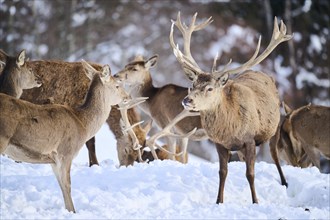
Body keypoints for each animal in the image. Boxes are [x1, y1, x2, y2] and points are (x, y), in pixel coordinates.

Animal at [0, 61, 129, 212]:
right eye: (117, 85)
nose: (127, 97)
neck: (83, 124)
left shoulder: (53, 159)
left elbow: (61, 185)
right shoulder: (66, 152)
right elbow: (68, 185)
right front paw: (73, 211)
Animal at [171, 12, 292, 205]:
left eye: (210, 88)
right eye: (193, 84)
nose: (187, 100)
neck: (230, 128)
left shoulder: (249, 140)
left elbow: (250, 174)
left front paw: (255, 201)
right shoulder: (220, 144)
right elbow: (222, 172)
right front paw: (219, 201)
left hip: (274, 128)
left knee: (274, 155)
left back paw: (285, 182)